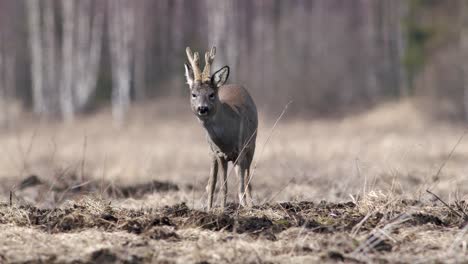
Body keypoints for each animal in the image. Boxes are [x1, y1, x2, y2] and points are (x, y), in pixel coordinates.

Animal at [184, 46, 258, 209]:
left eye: (211, 94)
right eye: (194, 94)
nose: (202, 108)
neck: (226, 140)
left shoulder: (241, 148)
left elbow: (241, 183)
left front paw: (243, 207)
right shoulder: (218, 153)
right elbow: (222, 185)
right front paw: (222, 208)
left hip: (252, 144)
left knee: (247, 177)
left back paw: (250, 203)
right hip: (212, 152)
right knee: (211, 183)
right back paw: (209, 207)